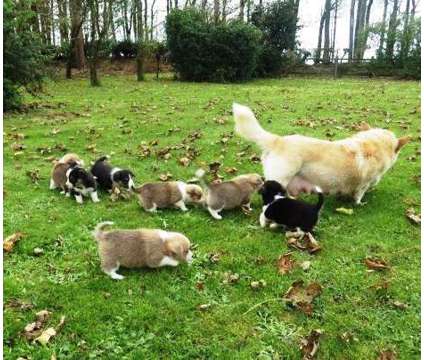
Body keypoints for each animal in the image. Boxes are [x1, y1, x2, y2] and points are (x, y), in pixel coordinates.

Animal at [234, 102, 410, 204]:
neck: (374, 144)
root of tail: (279, 140)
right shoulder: (364, 184)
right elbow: (359, 195)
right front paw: (359, 203)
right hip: (280, 180)